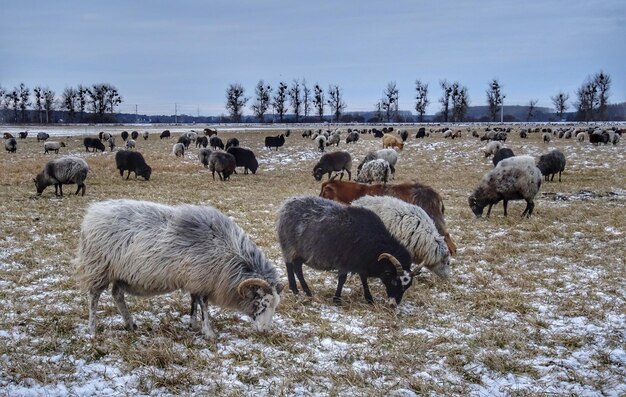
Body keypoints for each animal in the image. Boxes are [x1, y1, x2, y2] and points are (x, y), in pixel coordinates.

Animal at [276, 196, 414, 304]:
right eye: (394, 281)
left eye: (407, 286)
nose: (394, 305)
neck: (373, 244)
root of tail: (286, 204)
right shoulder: (345, 260)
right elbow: (342, 279)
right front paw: (337, 299)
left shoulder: (360, 262)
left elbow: (363, 278)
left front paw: (369, 299)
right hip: (288, 245)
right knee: (290, 266)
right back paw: (298, 290)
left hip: (301, 251)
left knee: (297, 267)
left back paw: (301, 290)